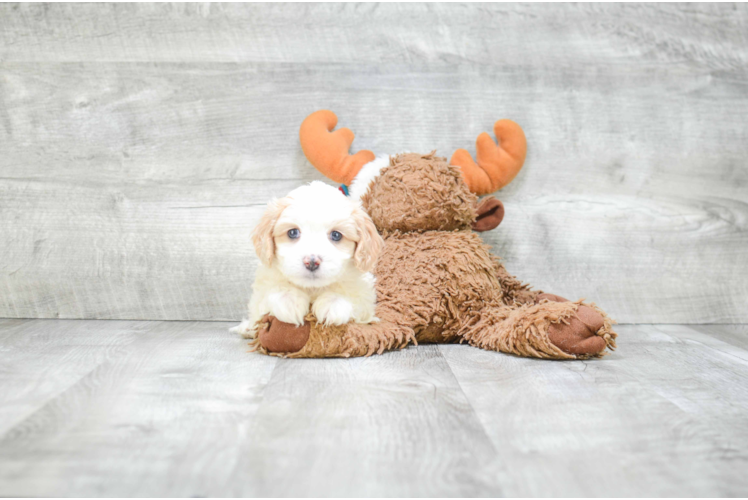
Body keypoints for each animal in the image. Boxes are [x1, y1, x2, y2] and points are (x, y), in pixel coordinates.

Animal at [232, 182, 386, 338]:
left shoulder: (364, 296)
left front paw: (333, 304)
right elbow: (270, 292)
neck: (312, 288)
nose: (311, 262)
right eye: (292, 232)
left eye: (336, 235)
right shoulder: (263, 287)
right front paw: (288, 300)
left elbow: (353, 295)